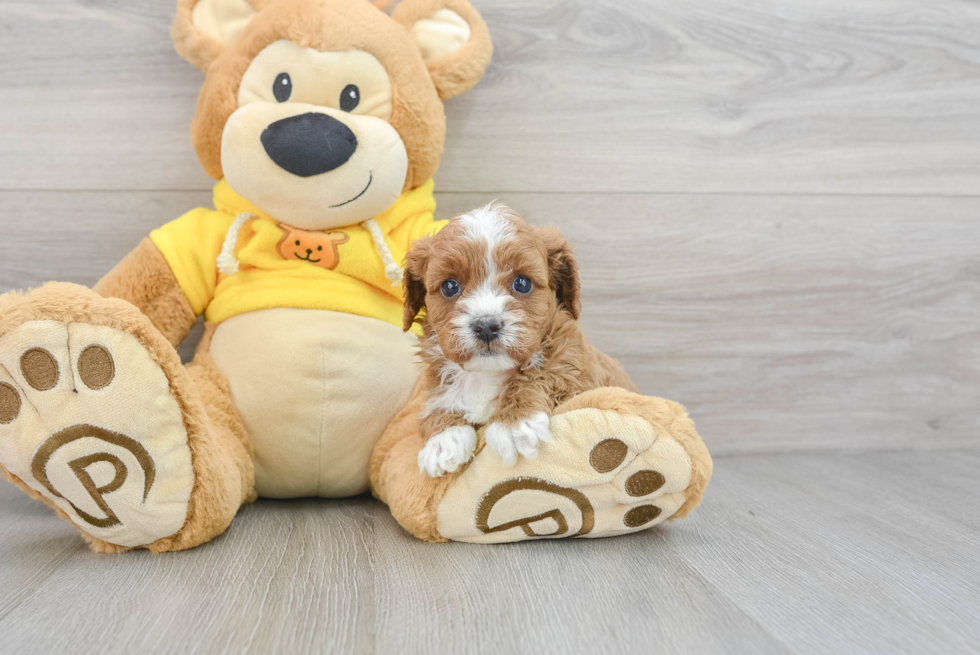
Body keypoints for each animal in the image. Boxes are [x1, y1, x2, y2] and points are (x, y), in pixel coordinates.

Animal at [402, 202, 640, 480]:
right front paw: (443, 439)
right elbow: (436, 400)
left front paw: (514, 424)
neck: (487, 373)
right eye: (450, 287)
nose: (486, 326)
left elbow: (543, 373)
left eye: (522, 283)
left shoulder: (582, 373)